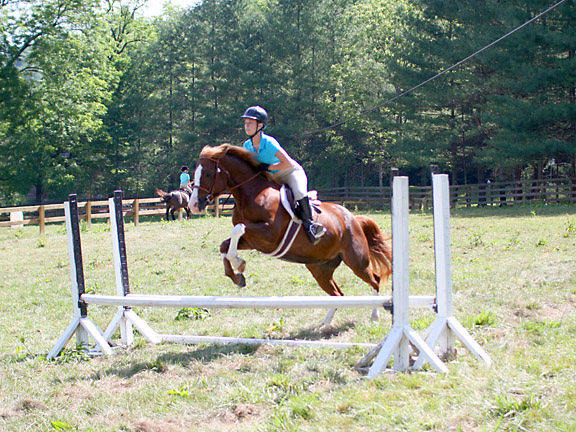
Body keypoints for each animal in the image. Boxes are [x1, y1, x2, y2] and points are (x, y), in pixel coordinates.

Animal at [189, 144, 392, 324]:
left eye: (208, 173)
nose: (193, 206)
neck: (252, 194)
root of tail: (353, 219)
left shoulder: (269, 234)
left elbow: (238, 228)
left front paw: (239, 264)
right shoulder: (253, 240)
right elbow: (226, 244)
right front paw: (237, 274)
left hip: (356, 260)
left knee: (374, 279)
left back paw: (374, 317)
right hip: (320, 268)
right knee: (337, 294)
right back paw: (325, 324)